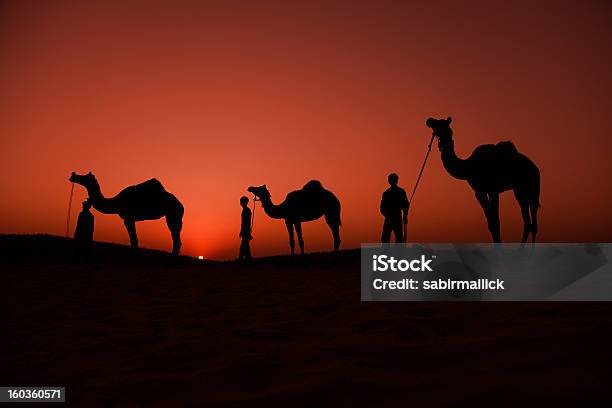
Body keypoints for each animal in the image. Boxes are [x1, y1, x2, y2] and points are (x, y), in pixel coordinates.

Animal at [426, 116, 540, 244]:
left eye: (440, 122)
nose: (429, 120)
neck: (469, 166)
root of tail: (535, 167)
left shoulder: (493, 190)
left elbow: (496, 223)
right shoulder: (479, 192)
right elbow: (491, 224)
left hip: (533, 186)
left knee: (533, 220)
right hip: (519, 190)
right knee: (527, 221)